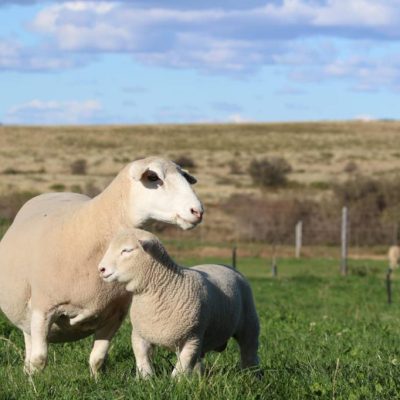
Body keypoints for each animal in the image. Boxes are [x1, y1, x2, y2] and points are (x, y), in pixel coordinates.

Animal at [0, 156, 203, 376]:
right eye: (153, 177)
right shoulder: (43, 307)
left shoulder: (115, 314)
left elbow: (97, 358)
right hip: (26, 313)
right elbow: (39, 359)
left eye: (185, 177)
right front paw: (35, 382)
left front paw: (95, 379)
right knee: (30, 345)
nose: (197, 211)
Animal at [97, 228, 260, 376]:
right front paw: (145, 379)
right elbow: (143, 361)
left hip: (249, 323)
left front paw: (176, 385)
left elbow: (180, 370)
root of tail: (227, 266)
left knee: (249, 351)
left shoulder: (192, 338)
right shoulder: (139, 335)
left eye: (126, 250)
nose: (101, 269)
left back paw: (252, 375)